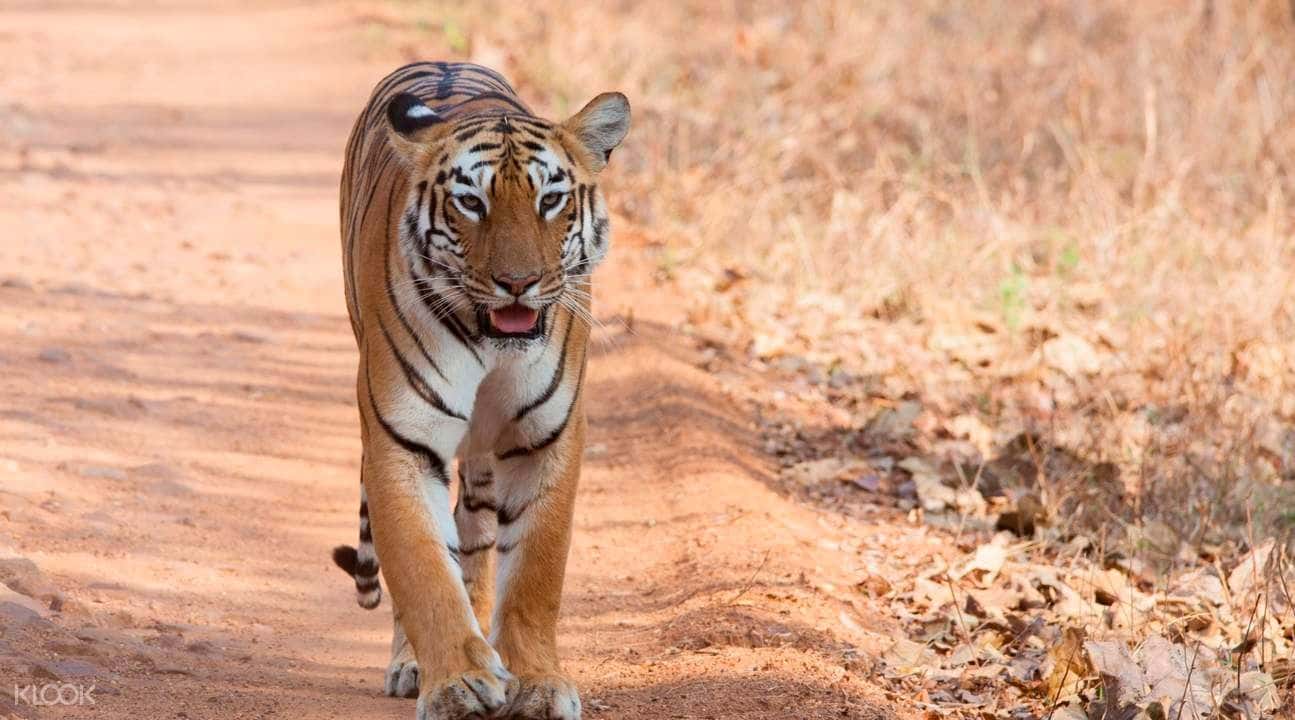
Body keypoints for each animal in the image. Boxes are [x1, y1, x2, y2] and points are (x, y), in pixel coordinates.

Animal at [330, 61, 628, 720]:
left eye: (550, 200)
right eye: (471, 202)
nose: (519, 283)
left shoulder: (547, 437)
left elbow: (536, 572)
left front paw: (537, 682)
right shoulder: (402, 440)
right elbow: (423, 569)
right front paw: (457, 683)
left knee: (477, 535)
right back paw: (415, 664)